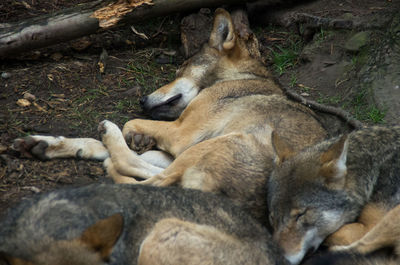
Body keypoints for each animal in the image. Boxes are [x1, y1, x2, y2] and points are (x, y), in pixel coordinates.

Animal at [12, 9, 326, 225]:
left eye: (179, 70)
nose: (140, 100)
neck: (240, 78)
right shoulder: (178, 140)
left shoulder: (180, 134)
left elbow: (130, 126)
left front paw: (126, 135)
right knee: (147, 172)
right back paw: (47, 145)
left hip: (215, 144)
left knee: (140, 175)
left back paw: (109, 141)